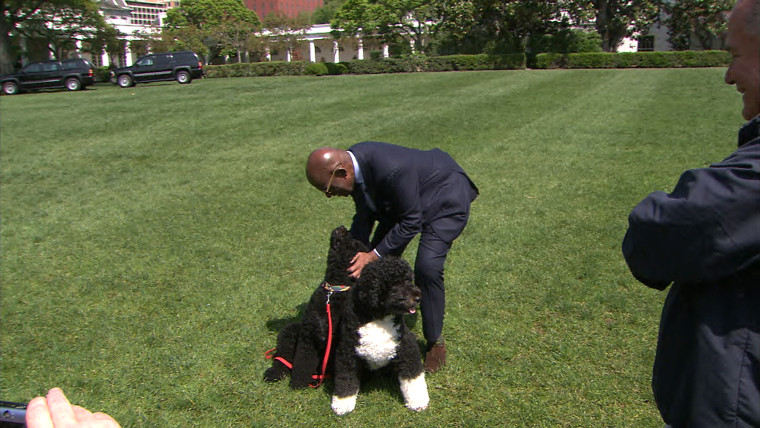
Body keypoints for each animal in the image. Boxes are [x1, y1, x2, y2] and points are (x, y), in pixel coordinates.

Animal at [262, 226, 366, 390]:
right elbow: (302, 363)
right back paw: (274, 373)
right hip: (290, 331)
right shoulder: (307, 338)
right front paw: (299, 383)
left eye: (354, 244)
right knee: (283, 358)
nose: (343, 228)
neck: (333, 290)